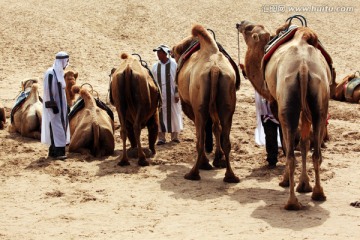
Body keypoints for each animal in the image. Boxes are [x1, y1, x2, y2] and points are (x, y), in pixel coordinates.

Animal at [172, 23, 239, 182]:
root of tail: (214, 69)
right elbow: (216, 127)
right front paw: (218, 159)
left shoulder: (190, 106)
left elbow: (200, 132)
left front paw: (208, 161)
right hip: (227, 100)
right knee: (226, 137)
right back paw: (230, 176)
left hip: (199, 106)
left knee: (200, 137)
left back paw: (194, 173)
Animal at [238, 19, 330, 210]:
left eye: (249, 29)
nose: (240, 23)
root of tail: (303, 66)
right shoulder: (305, 112)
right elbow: (304, 143)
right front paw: (304, 184)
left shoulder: (276, 105)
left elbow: (289, 144)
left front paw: (288, 181)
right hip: (319, 102)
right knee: (316, 151)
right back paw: (318, 193)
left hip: (287, 104)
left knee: (290, 154)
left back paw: (291, 202)